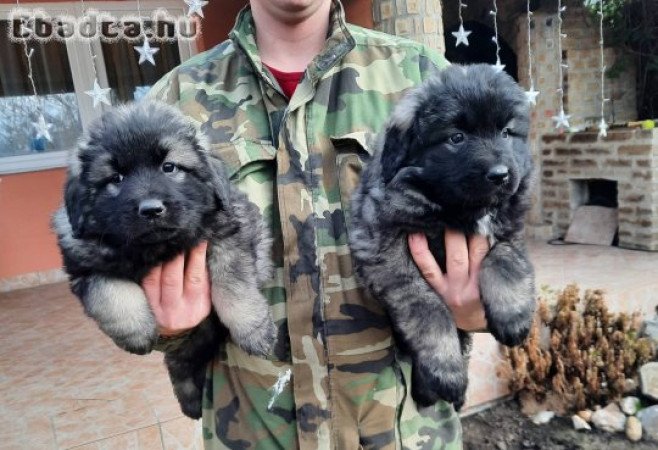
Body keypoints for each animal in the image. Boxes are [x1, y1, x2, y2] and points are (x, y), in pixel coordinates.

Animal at [52, 101, 274, 418]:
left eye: (169, 167)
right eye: (116, 178)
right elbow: (112, 293)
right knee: (179, 365)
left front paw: (254, 330)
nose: (151, 209)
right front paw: (136, 331)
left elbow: (233, 287)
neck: (159, 249)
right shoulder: (85, 264)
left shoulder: (231, 236)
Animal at [348, 65, 532, 410]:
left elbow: (506, 260)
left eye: (506, 132)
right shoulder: (388, 258)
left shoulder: (511, 232)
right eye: (456, 138)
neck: (453, 209)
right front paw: (445, 369)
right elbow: (430, 310)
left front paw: (513, 315)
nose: (500, 175)